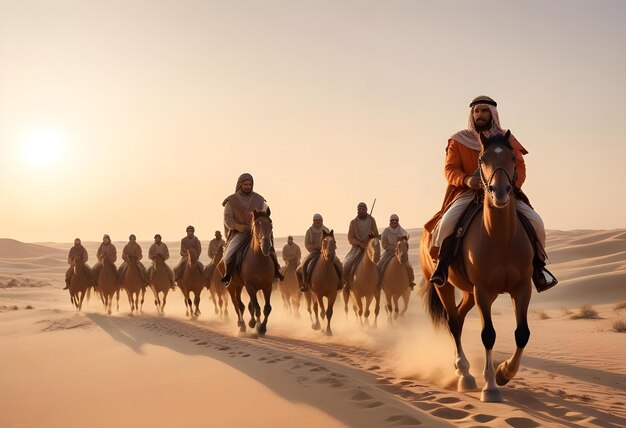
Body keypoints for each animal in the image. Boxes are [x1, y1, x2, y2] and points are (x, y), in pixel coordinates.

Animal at [420, 132, 532, 402]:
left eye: (512, 156)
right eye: (483, 159)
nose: (499, 192)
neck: (500, 238)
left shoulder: (522, 287)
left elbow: (522, 333)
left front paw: (504, 373)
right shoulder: (483, 289)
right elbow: (488, 334)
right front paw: (490, 387)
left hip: (469, 292)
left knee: (459, 319)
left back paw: (464, 371)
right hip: (446, 286)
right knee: (452, 321)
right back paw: (464, 375)